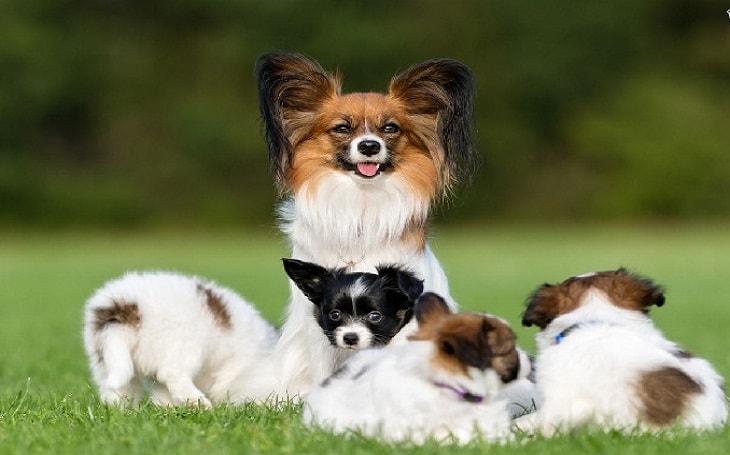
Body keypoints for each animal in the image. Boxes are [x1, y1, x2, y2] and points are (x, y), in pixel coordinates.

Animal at [82, 272, 278, 408]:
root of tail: (128, 307)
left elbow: (161, 393)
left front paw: (166, 408)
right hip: (184, 346)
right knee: (172, 374)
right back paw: (199, 403)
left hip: (105, 359)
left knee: (118, 390)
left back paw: (124, 412)